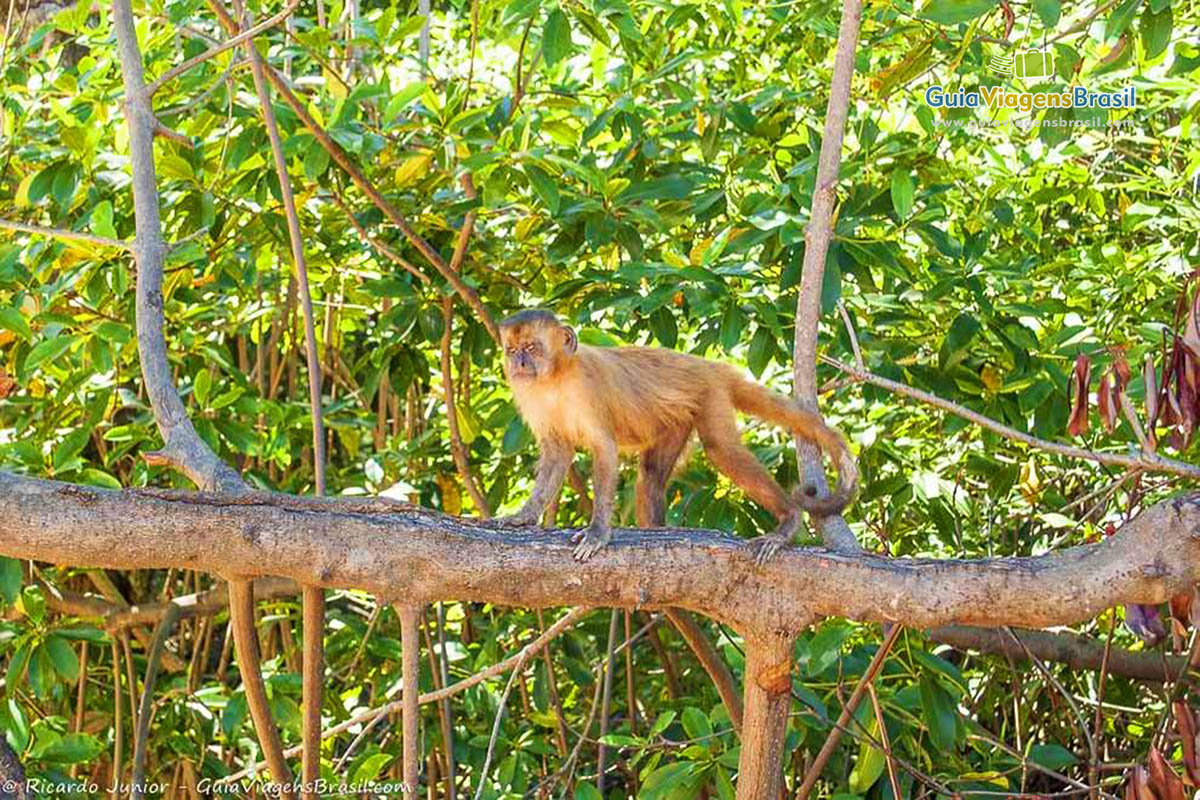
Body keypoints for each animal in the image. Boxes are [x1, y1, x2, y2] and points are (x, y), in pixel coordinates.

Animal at [496, 307, 864, 563]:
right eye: (512, 350)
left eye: (532, 347)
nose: (520, 362)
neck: (555, 378)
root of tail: (707, 365)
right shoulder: (530, 396)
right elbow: (557, 452)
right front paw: (524, 516)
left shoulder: (588, 386)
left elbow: (604, 449)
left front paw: (598, 533)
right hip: (676, 418)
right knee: (651, 473)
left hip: (709, 393)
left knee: (721, 449)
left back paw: (788, 520)